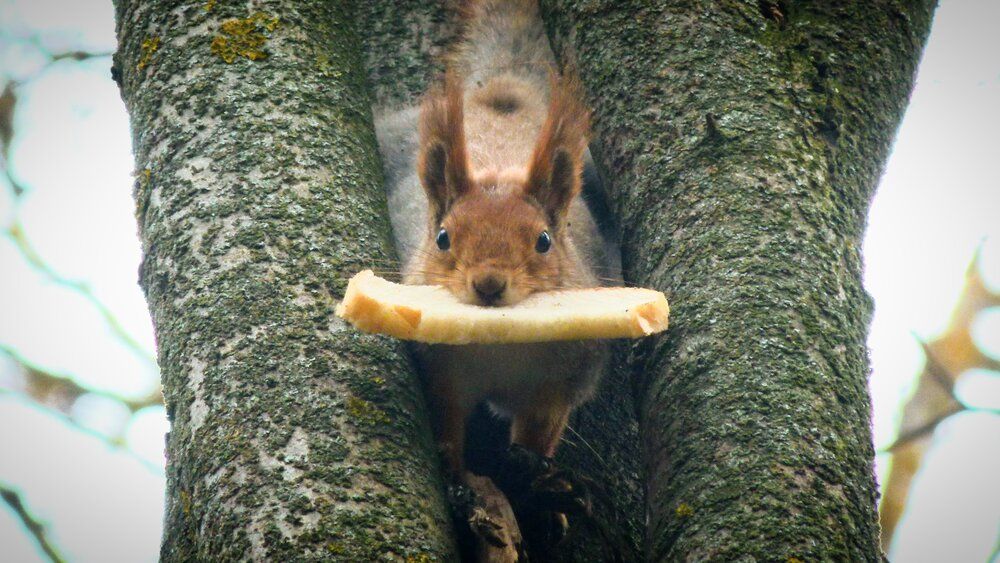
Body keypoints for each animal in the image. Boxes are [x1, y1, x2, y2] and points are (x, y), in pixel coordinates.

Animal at [374, 0, 621, 547]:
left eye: (545, 241)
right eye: (442, 237)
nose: (488, 284)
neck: (499, 344)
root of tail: (504, 94)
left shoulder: (561, 379)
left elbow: (539, 433)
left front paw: (540, 494)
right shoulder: (442, 370)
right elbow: (446, 426)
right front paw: (455, 477)